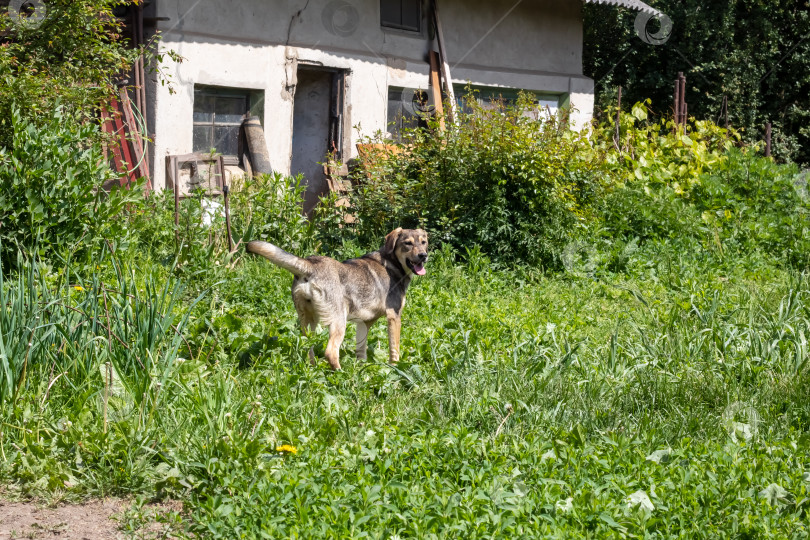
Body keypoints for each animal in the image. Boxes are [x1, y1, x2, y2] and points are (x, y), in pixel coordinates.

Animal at [246, 226, 426, 370]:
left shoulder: (364, 323)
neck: (392, 263)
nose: (423, 256)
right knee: (331, 352)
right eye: (408, 243)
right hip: (339, 321)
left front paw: (362, 371)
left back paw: (314, 369)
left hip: (308, 323)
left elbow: (361, 351)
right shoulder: (394, 317)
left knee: (307, 347)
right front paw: (395, 369)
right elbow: (394, 350)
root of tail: (310, 265)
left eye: (424, 242)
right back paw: (341, 375)